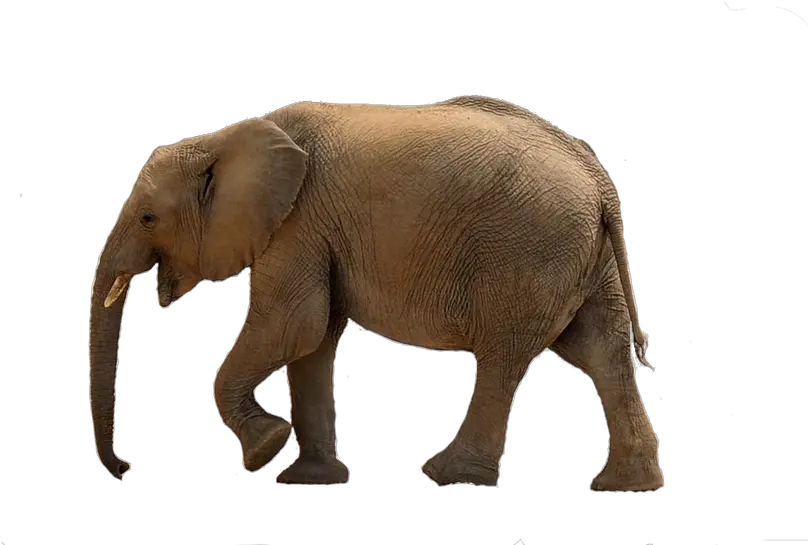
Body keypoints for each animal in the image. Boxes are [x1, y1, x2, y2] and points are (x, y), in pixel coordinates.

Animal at [89, 95, 663, 492]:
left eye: (147, 218)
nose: (125, 468)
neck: (225, 139)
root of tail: (600, 182)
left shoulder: (299, 222)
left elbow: (292, 324)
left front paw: (264, 451)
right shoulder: (317, 231)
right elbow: (314, 339)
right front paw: (309, 480)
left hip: (531, 252)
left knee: (505, 355)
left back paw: (447, 476)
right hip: (590, 259)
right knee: (602, 351)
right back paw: (625, 486)